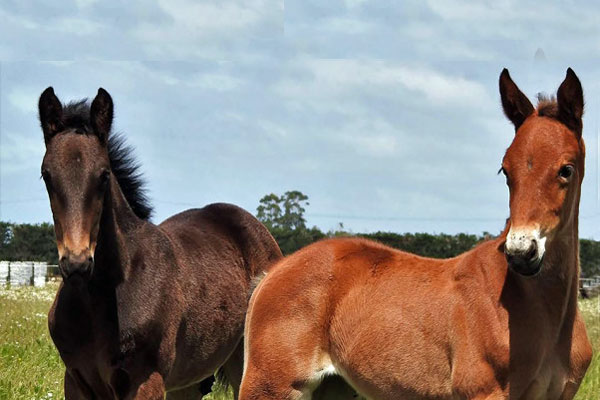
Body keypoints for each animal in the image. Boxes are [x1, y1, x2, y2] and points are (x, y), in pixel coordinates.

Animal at [38, 88, 282, 400]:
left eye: (104, 175)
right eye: (47, 175)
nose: (77, 263)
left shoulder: (146, 380)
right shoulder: (76, 379)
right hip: (189, 379)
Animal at [239, 69, 592, 400]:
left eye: (566, 169)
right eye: (506, 170)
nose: (521, 252)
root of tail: (273, 272)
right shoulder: (484, 391)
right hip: (269, 386)